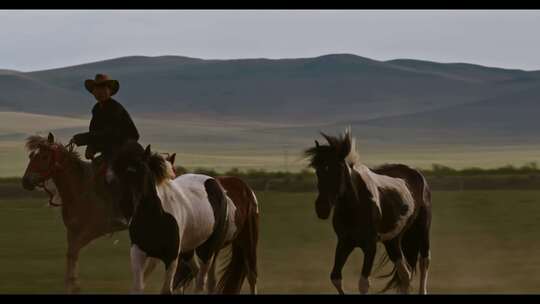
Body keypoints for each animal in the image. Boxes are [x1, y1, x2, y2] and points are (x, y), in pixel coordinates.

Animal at [20, 132, 129, 292]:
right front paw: (71, 284)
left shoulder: (92, 230)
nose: (26, 182)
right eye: (31, 156)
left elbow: (73, 251)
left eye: (44, 157)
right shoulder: (73, 231)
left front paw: (73, 284)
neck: (80, 189)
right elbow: (71, 253)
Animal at [162, 154, 260, 294]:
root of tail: (246, 188)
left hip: (247, 242)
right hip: (216, 250)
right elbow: (179, 282)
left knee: (251, 275)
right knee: (211, 281)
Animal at [306, 129, 432, 294]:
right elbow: (335, 278)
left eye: (338, 168)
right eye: (317, 171)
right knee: (405, 274)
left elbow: (363, 284)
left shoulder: (370, 245)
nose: (322, 208)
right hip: (392, 240)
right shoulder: (344, 242)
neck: (355, 206)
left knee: (424, 262)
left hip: (422, 230)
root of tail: (417, 174)